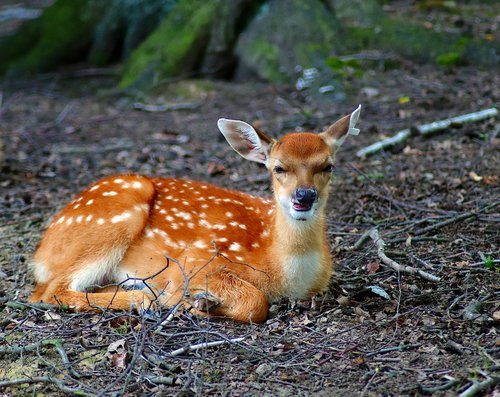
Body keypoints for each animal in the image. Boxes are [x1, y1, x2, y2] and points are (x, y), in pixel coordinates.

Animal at [29, 104, 362, 322]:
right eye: (278, 168)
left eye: (328, 166)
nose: (304, 196)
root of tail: (42, 250)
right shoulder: (195, 261)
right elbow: (256, 303)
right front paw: (193, 303)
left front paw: (202, 303)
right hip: (113, 220)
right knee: (49, 290)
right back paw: (148, 298)